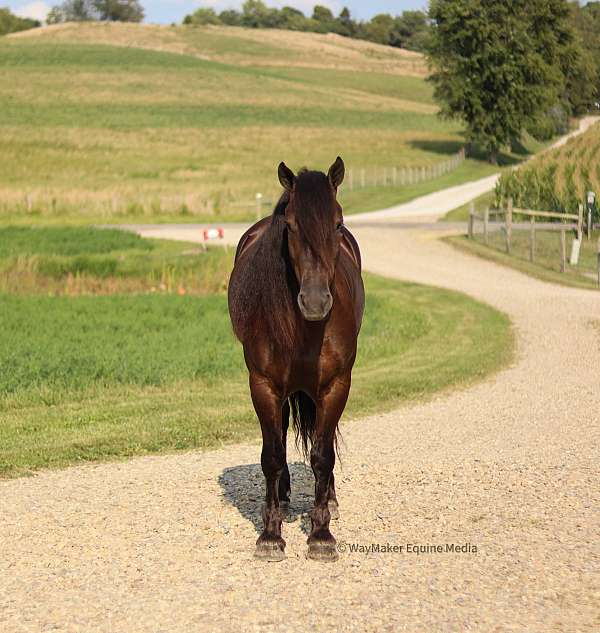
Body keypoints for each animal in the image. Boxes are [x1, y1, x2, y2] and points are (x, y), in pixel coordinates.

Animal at [227, 158, 364, 564]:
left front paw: (321, 534)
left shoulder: (336, 385)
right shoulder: (264, 385)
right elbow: (271, 455)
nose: (315, 302)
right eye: (289, 226)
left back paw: (329, 499)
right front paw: (270, 535)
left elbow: (323, 455)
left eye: (338, 222)